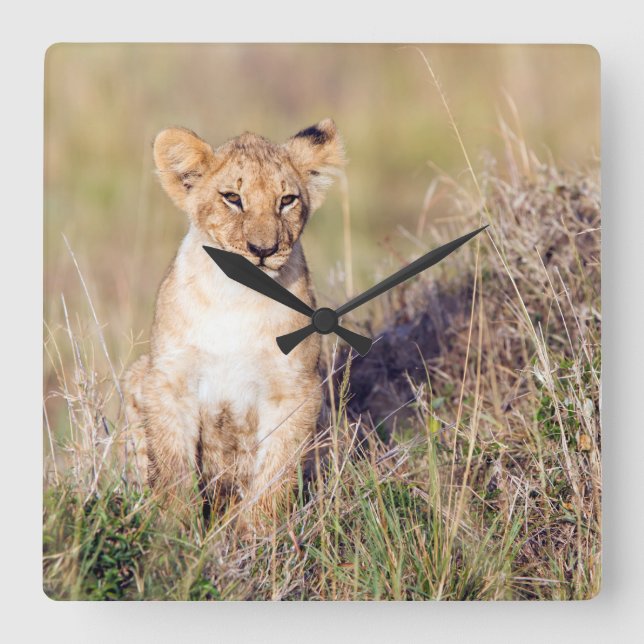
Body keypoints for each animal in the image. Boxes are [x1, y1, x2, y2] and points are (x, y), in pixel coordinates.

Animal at [121, 119, 345, 531]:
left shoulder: (295, 390)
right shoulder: (168, 380)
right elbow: (172, 468)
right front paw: (174, 533)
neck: (237, 297)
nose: (263, 250)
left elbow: (275, 472)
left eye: (287, 200)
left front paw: (258, 535)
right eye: (232, 198)